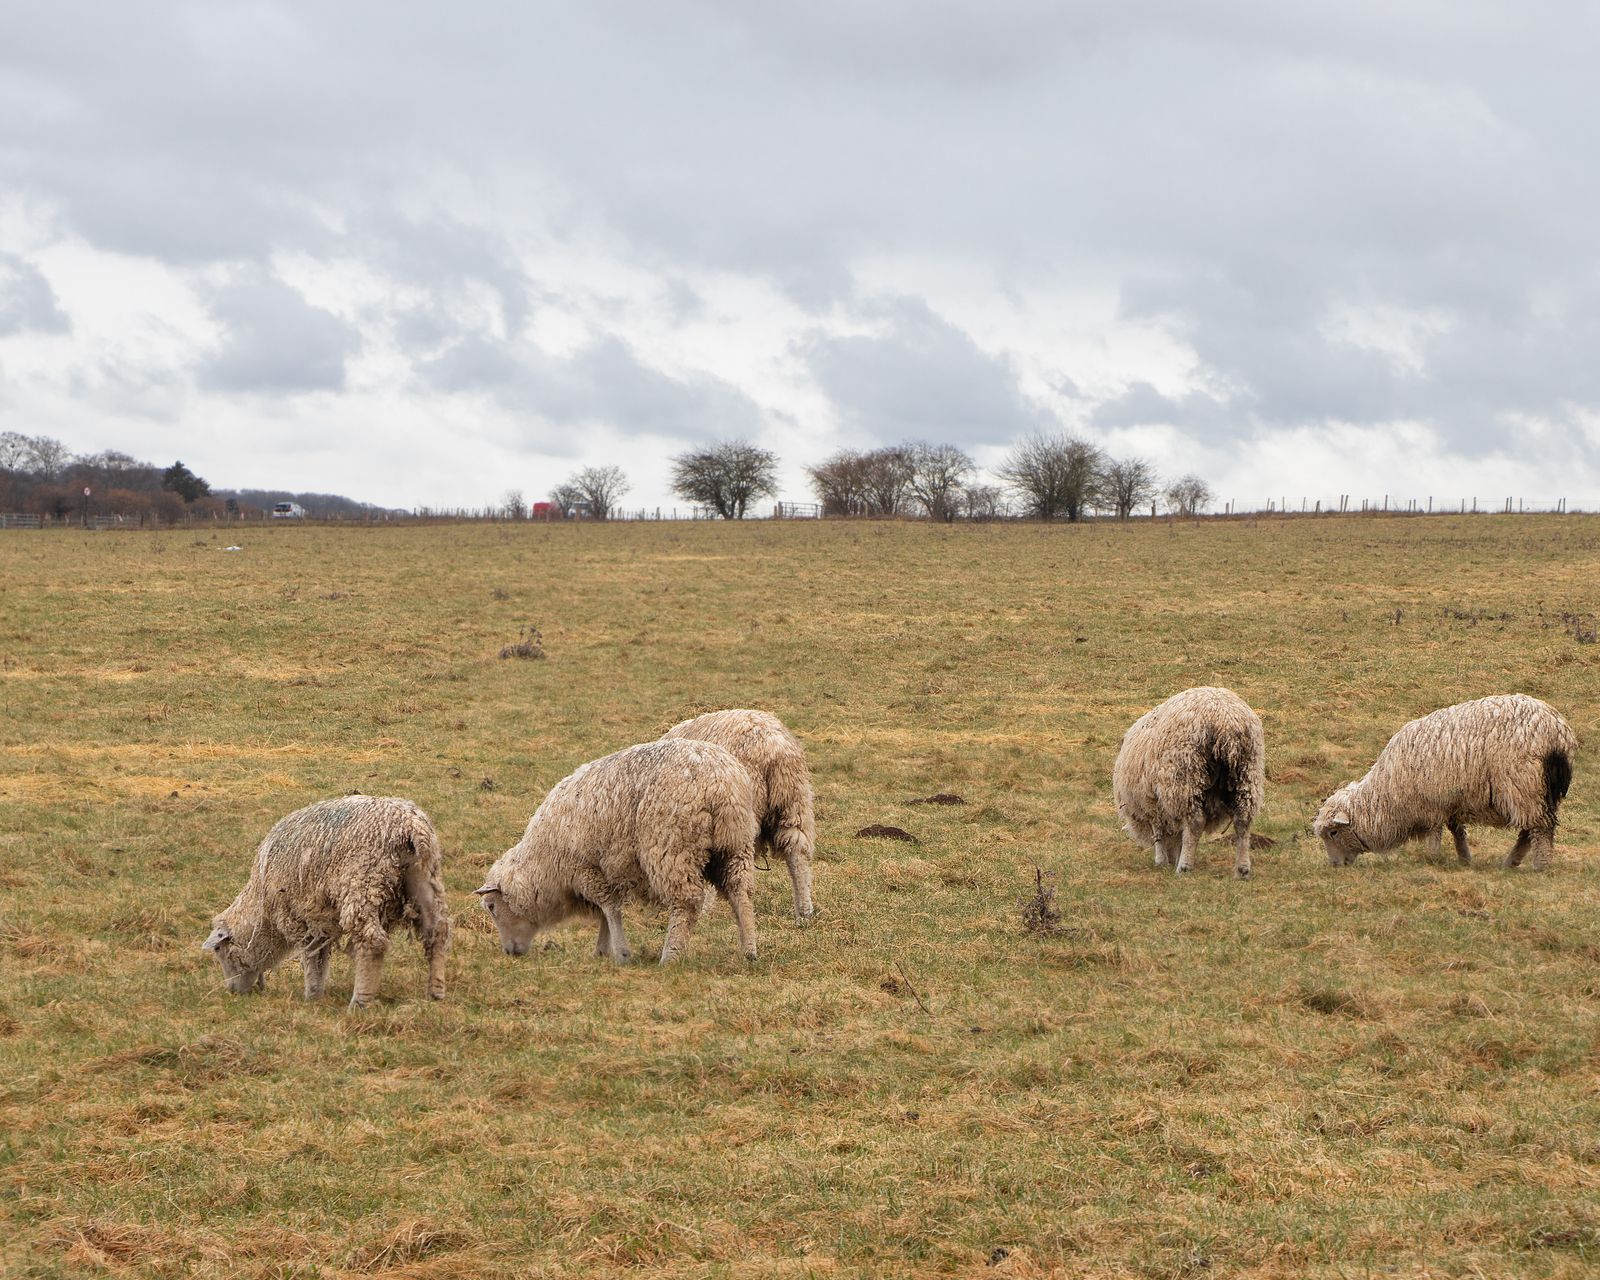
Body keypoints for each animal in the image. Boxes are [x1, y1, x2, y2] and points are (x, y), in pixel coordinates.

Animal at [200, 795, 451, 1008]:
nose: (233, 991)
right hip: (424, 879)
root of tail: (412, 827)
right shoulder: (320, 919)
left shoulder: (296, 916)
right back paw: (436, 992)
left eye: (219, 950)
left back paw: (361, 1001)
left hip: (363, 882)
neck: (262, 910)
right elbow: (320, 956)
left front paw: (312, 996)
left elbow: (312, 956)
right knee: (437, 932)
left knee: (373, 942)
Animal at [475, 738, 759, 964]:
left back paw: (670, 955)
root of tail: (719, 782)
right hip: (735, 844)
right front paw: (602, 950)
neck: (544, 864)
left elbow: (609, 908)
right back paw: (749, 950)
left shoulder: (586, 869)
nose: (510, 952)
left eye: (491, 906)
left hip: (672, 847)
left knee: (687, 904)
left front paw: (620, 953)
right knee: (739, 893)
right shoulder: (607, 871)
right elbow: (606, 912)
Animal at [1112, 686, 1266, 878]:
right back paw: (1242, 870)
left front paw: (1161, 860)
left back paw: (1184, 867)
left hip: (1186, 774)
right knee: (1242, 820)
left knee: (1195, 823)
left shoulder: (1152, 802)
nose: (1171, 860)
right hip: (1247, 773)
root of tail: (1226, 721)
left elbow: (1159, 832)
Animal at [1313, 694, 1576, 870]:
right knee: (1528, 830)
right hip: (1537, 792)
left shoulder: (1432, 804)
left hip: (1523, 784)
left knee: (1540, 828)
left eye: (1334, 832)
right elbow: (1457, 831)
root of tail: (1558, 733)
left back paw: (1540, 865)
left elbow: (1435, 835)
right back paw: (1511, 863)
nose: (1335, 865)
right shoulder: (1451, 802)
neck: (1386, 794)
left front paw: (1433, 859)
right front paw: (1464, 859)